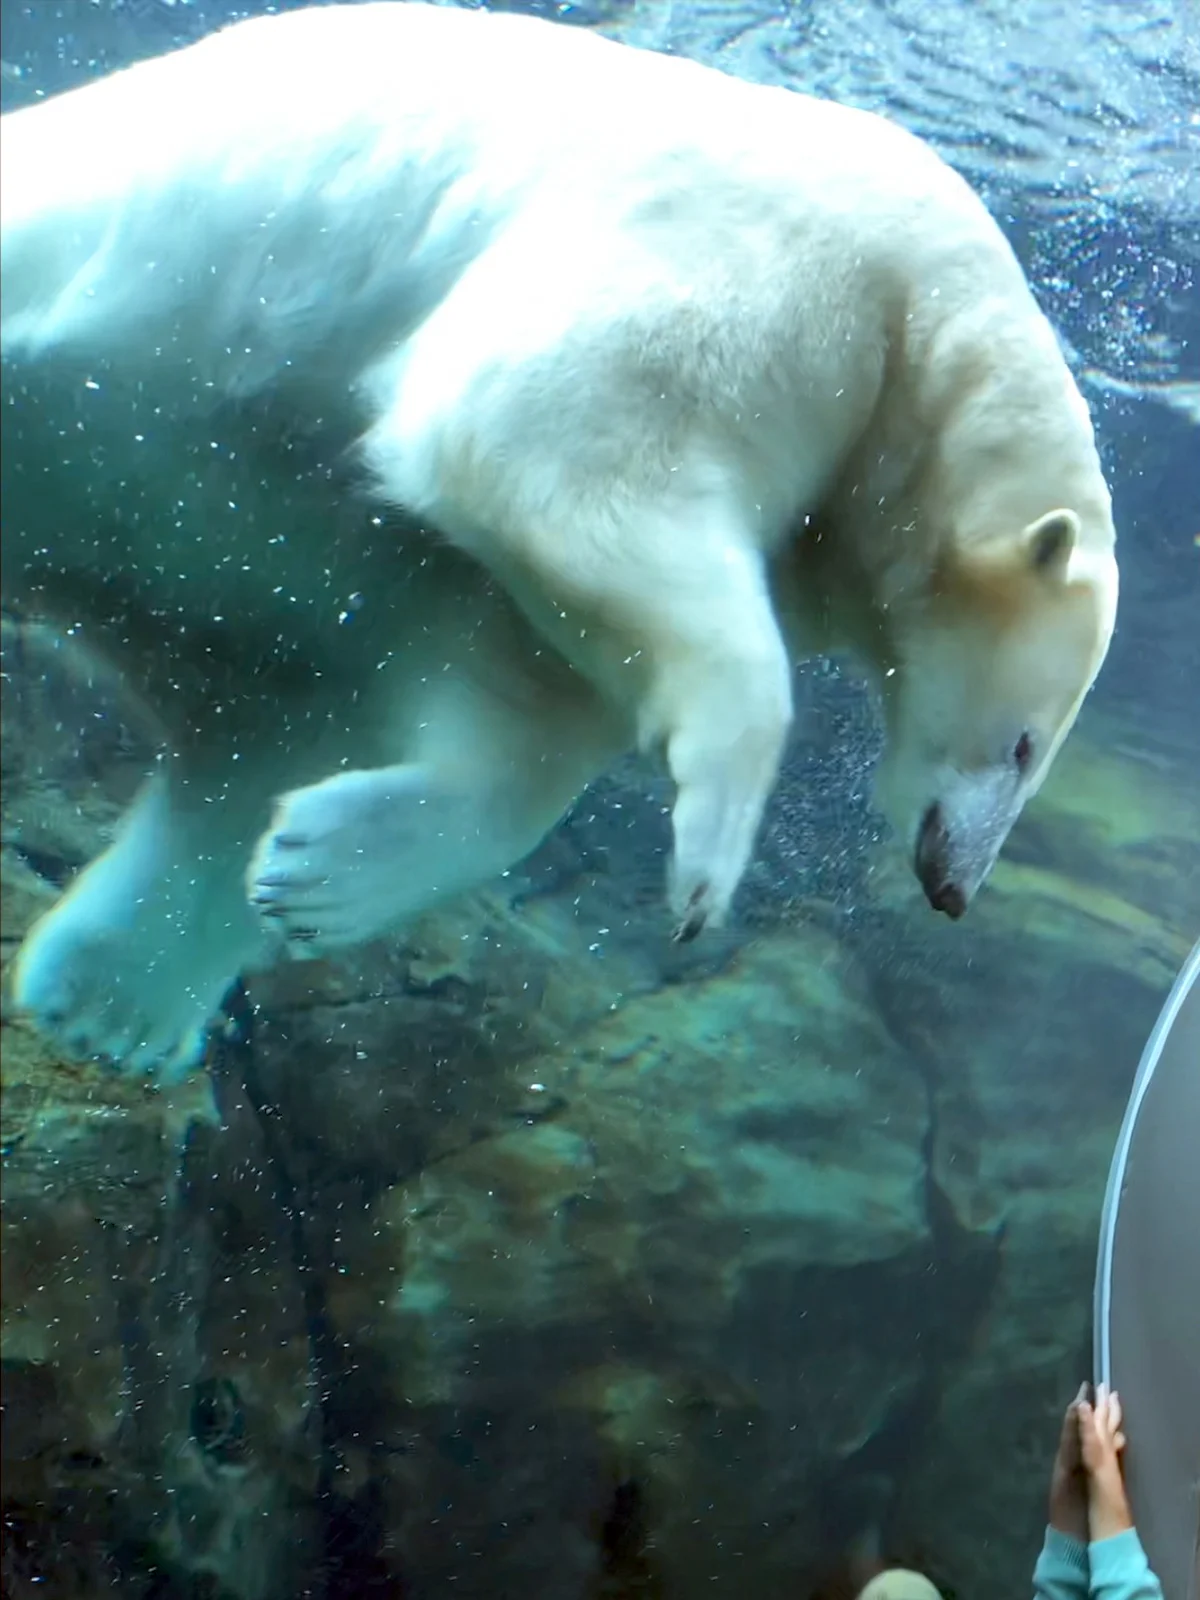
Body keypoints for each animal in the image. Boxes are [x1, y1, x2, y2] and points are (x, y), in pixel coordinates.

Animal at [4, 3, 1126, 1075]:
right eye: (1026, 745)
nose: (955, 884)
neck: (927, 317)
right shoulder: (793, 281)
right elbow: (551, 435)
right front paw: (709, 864)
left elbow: (524, 689)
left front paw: (322, 872)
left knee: (263, 723)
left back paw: (113, 998)